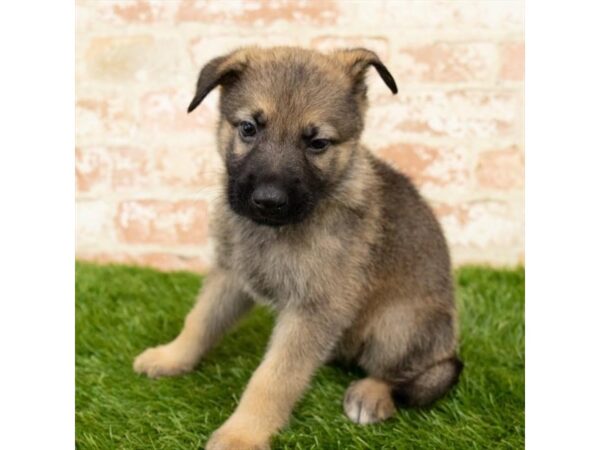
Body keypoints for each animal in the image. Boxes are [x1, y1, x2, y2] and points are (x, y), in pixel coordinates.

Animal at [134, 46, 462, 450]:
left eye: (317, 143)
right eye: (249, 128)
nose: (267, 201)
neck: (275, 231)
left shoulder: (314, 309)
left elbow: (273, 379)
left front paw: (242, 434)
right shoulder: (230, 275)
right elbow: (200, 320)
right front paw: (172, 356)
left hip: (398, 323)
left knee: (409, 374)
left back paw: (370, 395)